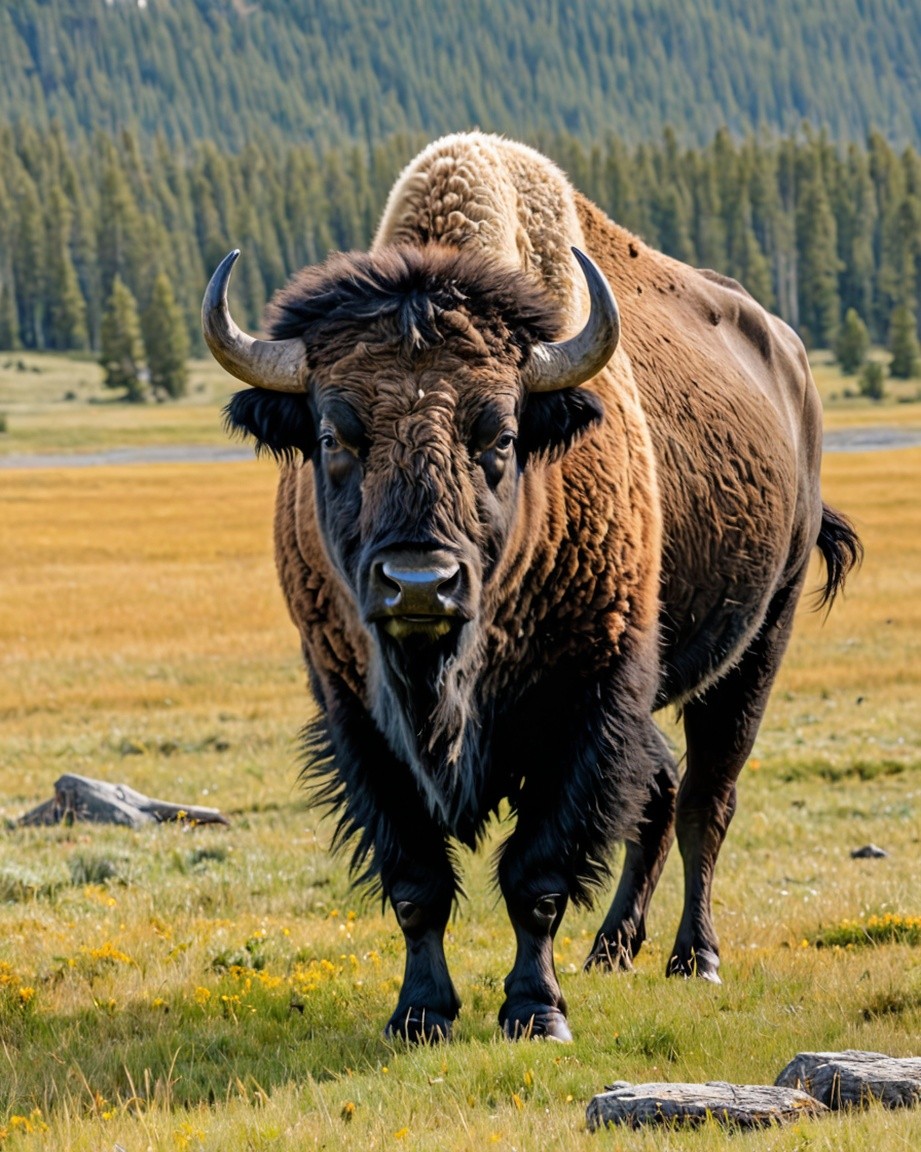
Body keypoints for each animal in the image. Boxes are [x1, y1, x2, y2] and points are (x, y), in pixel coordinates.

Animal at [202, 132, 860, 1042]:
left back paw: (693, 958)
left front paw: (536, 1012)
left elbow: (537, 876)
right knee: (660, 793)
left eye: (501, 436)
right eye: (334, 434)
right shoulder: (354, 713)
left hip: (761, 639)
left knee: (704, 800)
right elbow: (415, 881)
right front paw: (420, 1014)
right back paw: (611, 949)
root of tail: (789, 363)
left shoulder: (586, 698)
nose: (420, 584)